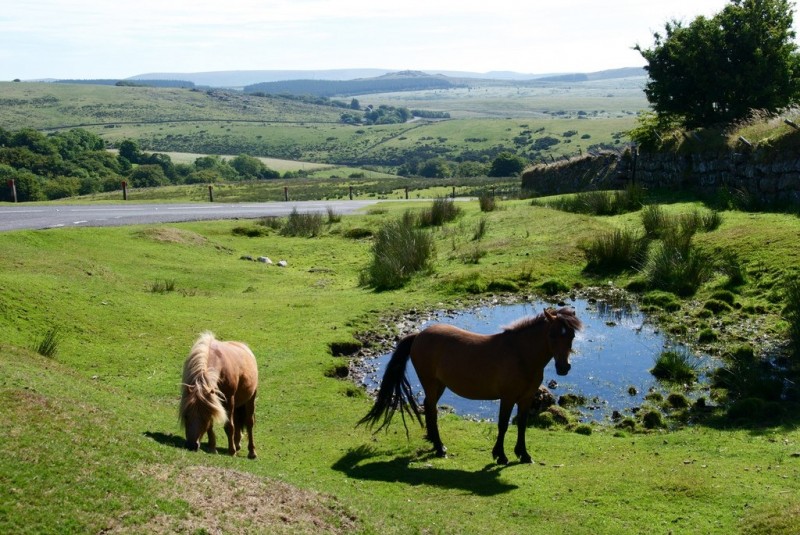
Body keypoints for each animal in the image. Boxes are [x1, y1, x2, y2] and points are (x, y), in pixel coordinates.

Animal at [360, 310, 580, 464]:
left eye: (571, 336)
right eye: (552, 335)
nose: (563, 367)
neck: (520, 355)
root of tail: (419, 335)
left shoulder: (526, 398)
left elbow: (522, 425)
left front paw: (523, 454)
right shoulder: (507, 398)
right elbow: (502, 425)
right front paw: (500, 455)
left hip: (439, 385)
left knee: (428, 408)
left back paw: (433, 441)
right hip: (431, 383)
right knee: (432, 410)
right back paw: (439, 448)